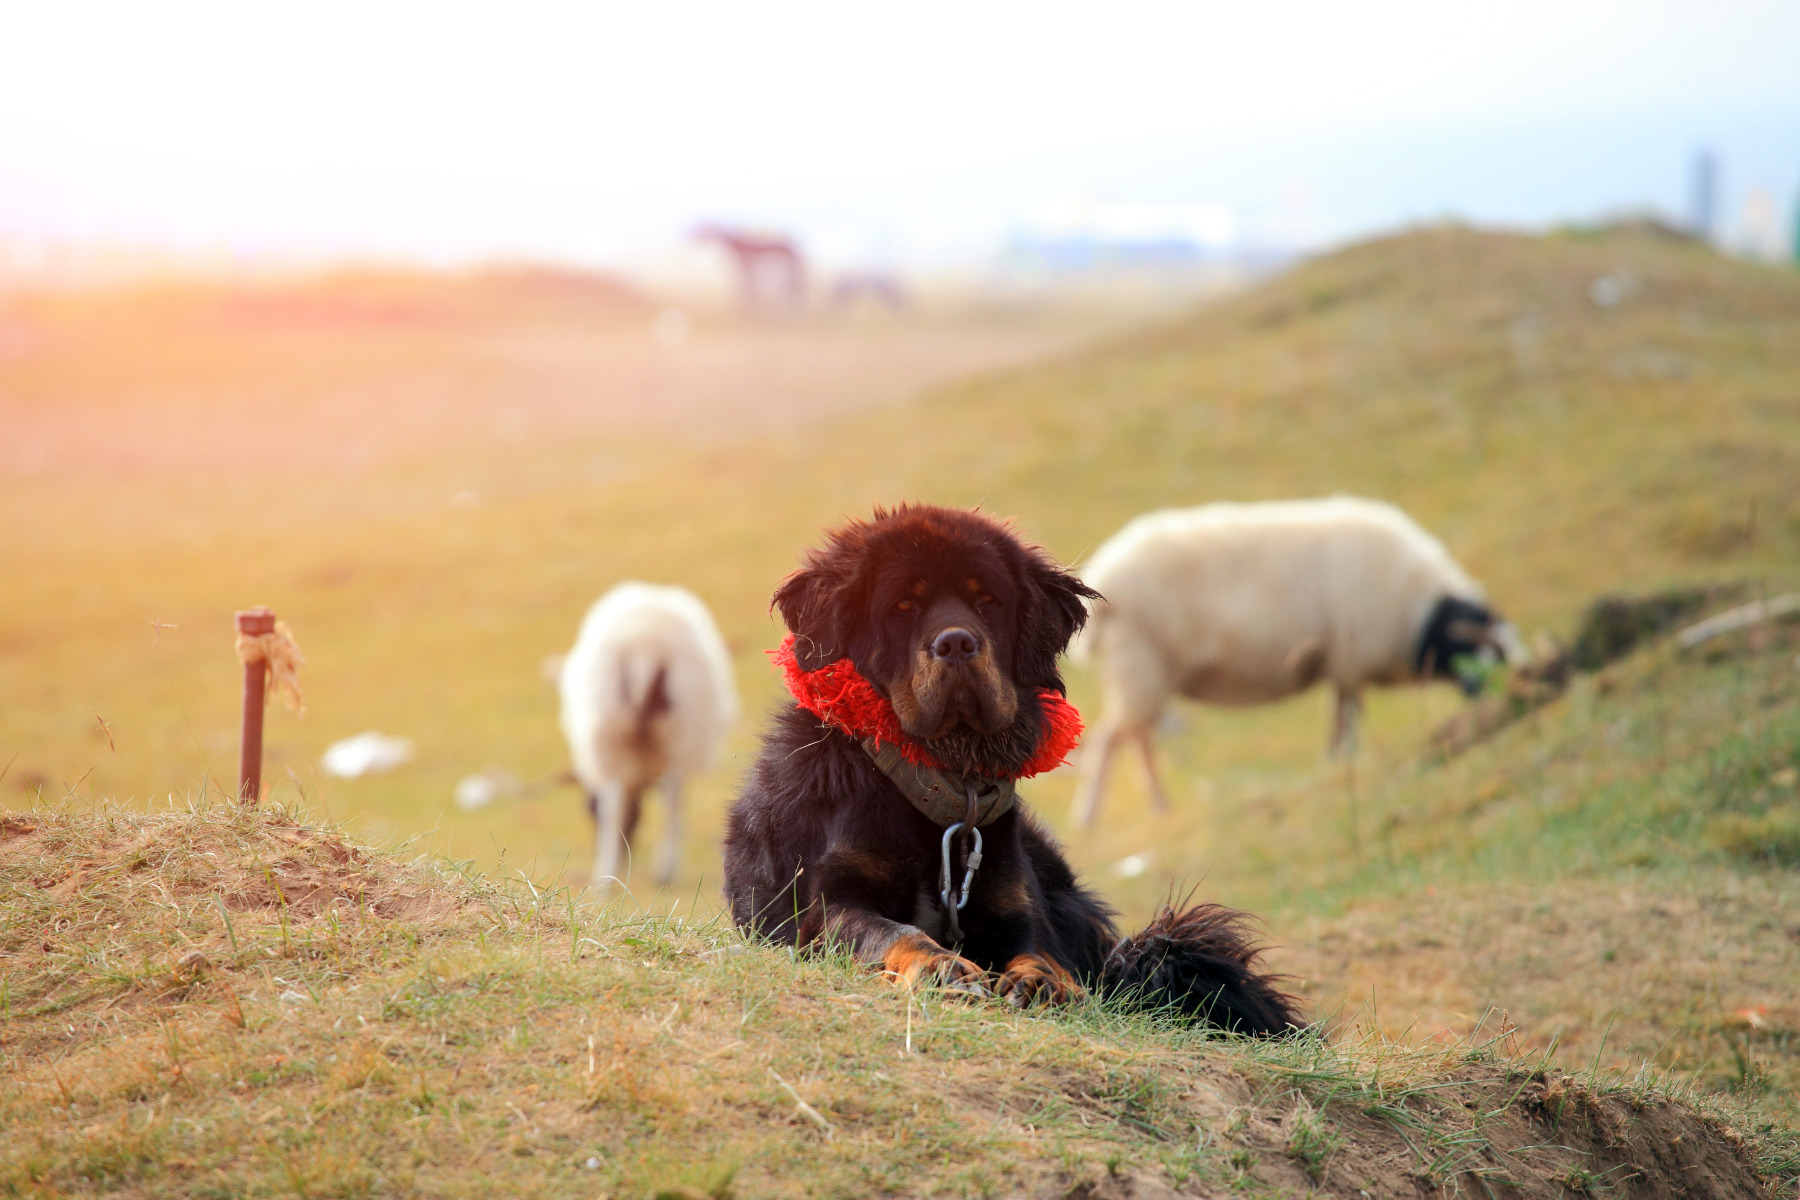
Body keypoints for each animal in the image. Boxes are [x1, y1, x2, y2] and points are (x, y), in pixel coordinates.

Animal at [554, 582, 738, 892]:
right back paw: (659, 870)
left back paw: (607, 877)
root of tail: (644, 644)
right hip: (674, 732)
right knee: (670, 797)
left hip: (615, 729)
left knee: (621, 803)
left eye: (589, 811)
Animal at [1065, 496, 1519, 827]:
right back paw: (1090, 816)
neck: (1419, 611)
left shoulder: (1341, 664)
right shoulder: (1350, 655)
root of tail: (1106, 575)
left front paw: (1336, 759)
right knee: (1111, 740)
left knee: (1137, 739)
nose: (1494, 701)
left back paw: (1159, 805)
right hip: (1140, 663)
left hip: (1144, 671)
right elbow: (1349, 715)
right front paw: (1345, 757)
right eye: (1481, 656)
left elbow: (1341, 713)